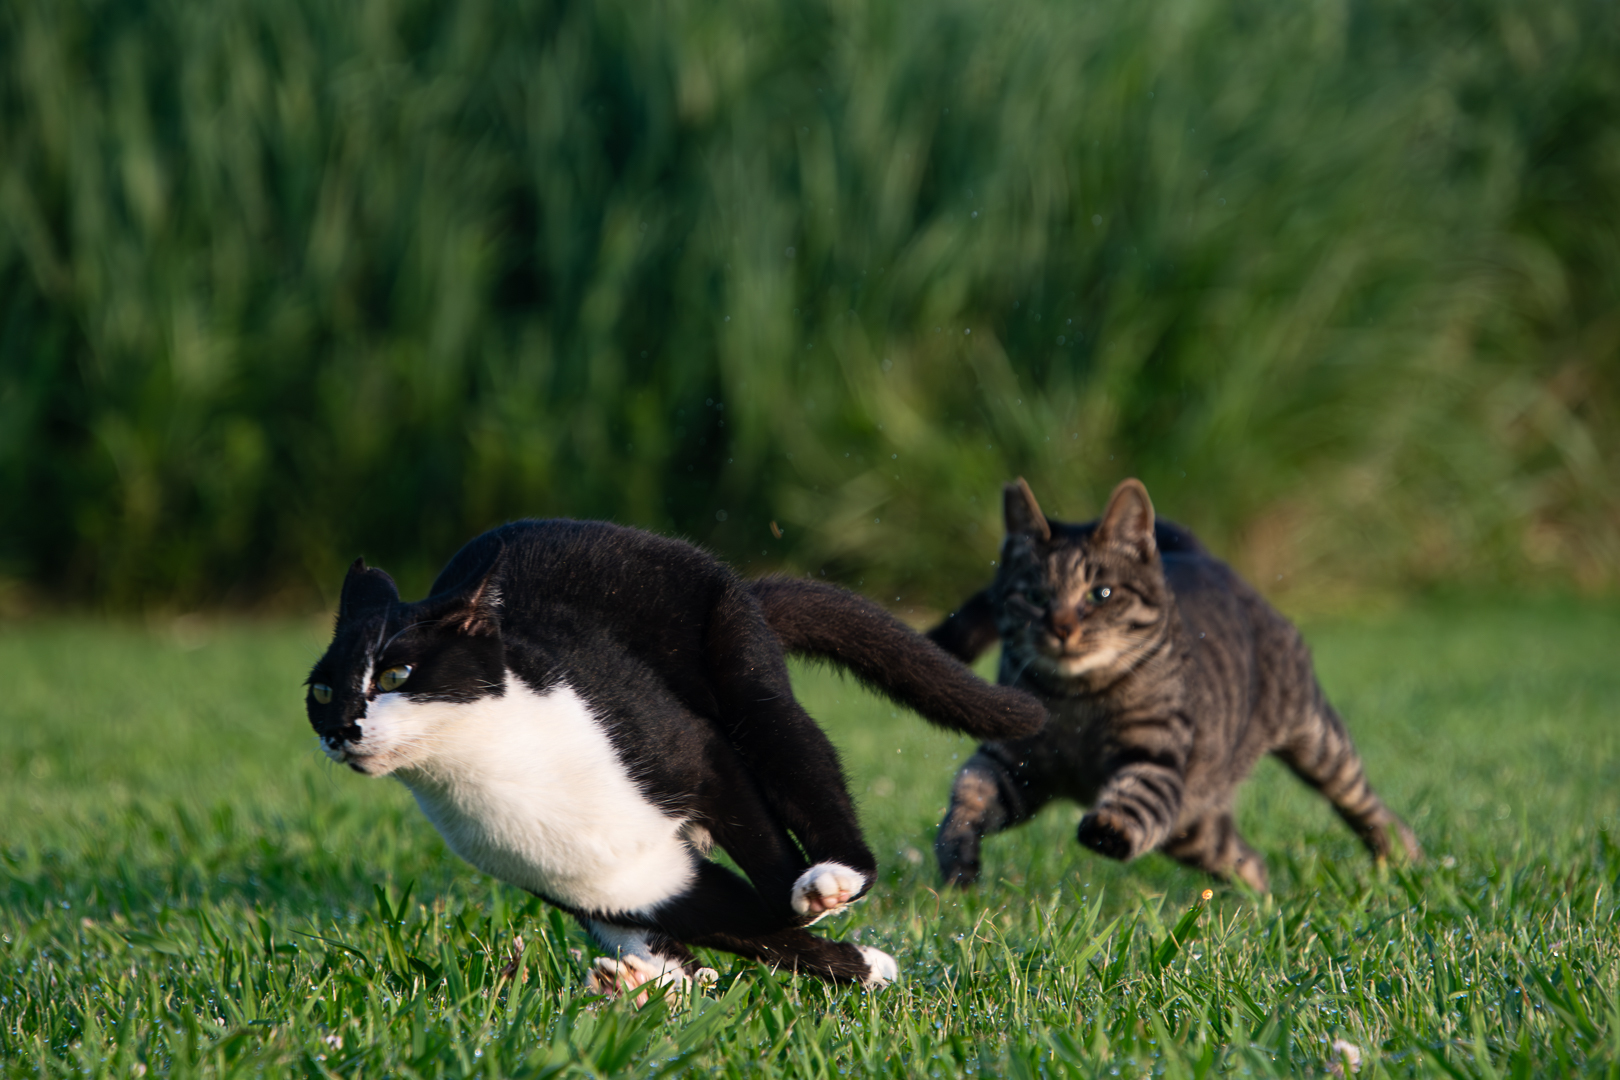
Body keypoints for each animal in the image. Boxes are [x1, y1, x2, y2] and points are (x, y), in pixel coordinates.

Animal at [306, 514, 1036, 997]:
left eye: (396, 673)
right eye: (319, 690)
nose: (341, 726)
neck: (496, 773)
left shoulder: (701, 756)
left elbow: (771, 879)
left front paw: (835, 932)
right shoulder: (618, 880)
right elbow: (744, 927)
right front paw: (861, 967)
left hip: (739, 664)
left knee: (799, 757)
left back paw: (831, 878)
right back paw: (648, 981)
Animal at [926, 476, 1419, 893]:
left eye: (1100, 594)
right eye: (1034, 597)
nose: (1062, 628)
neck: (1078, 701)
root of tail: (1201, 555)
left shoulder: (1156, 759)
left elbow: (1135, 797)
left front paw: (1108, 827)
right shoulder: (1016, 762)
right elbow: (969, 792)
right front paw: (956, 855)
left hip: (1315, 740)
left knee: (1361, 800)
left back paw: (1402, 854)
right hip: (1191, 826)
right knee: (1246, 859)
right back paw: (1260, 904)